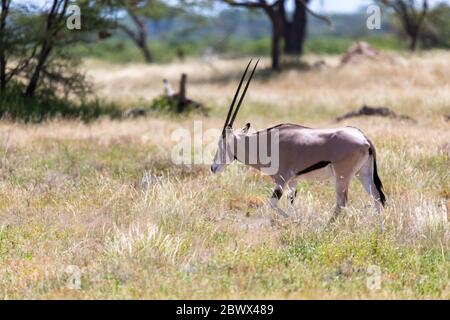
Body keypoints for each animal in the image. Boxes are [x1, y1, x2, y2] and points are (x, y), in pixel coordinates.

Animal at [210, 59, 384, 228]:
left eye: (223, 143)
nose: (213, 167)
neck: (266, 142)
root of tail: (363, 138)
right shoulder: (293, 181)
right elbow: (291, 204)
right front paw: (295, 221)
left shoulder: (282, 179)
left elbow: (272, 204)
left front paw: (295, 222)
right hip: (363, 173)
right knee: (376, 197)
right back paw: (380, 230)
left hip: (342, 176)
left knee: (341, 202)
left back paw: (326, 228)